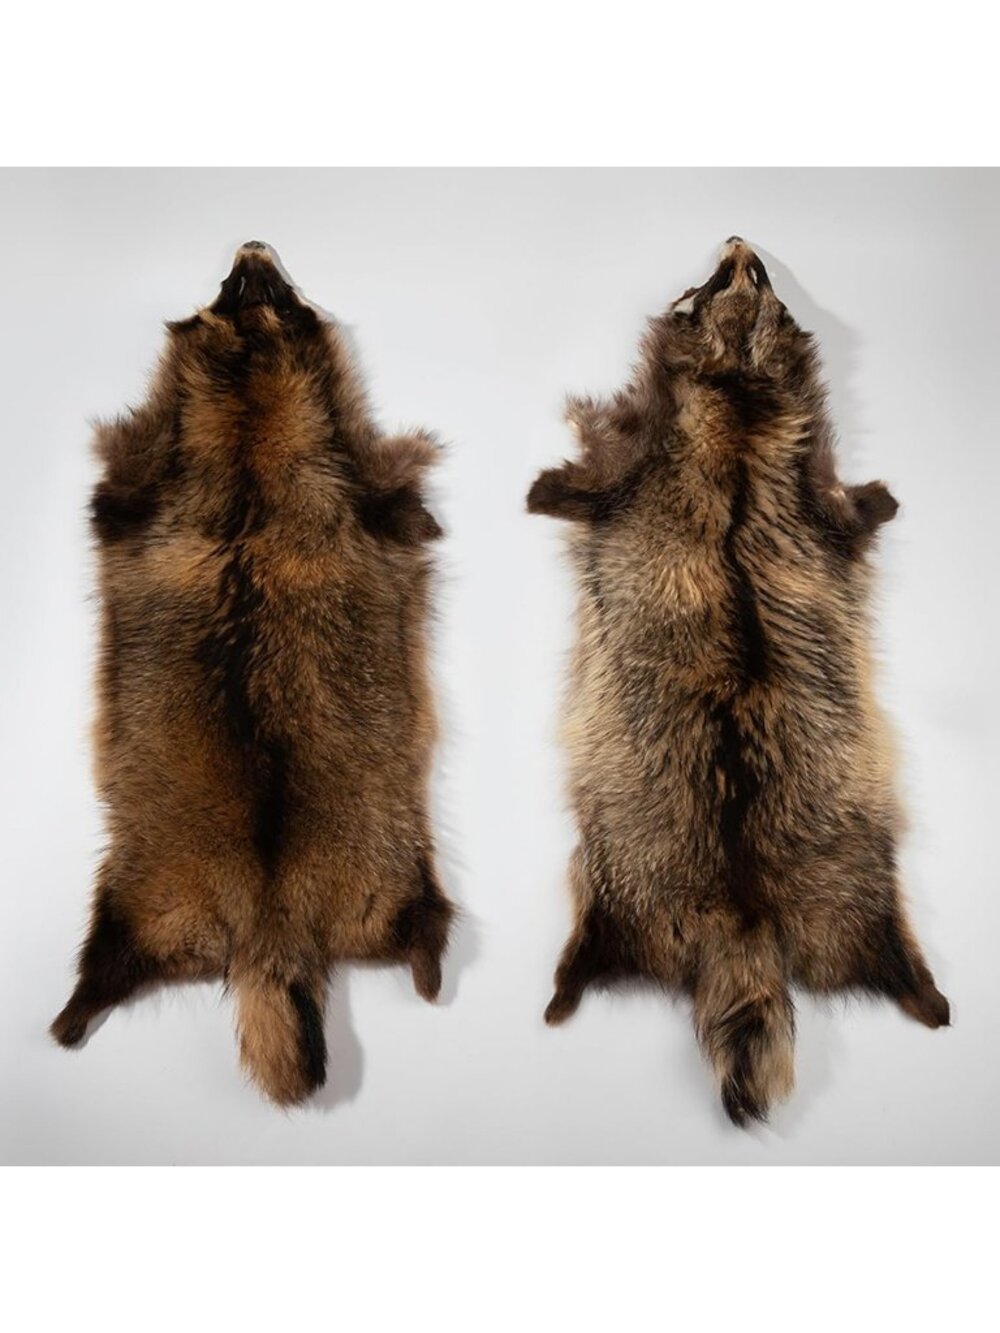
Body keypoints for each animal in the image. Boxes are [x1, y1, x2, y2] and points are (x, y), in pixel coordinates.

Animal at [528, 238, 949, 1126]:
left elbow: (579, 482)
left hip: (624, 887)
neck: (741, 398)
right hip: (842, 898)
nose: (742, 241)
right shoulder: (806, 487)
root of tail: (744, 912)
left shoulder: (637, 467)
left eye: (750, 282)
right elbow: (849, 508)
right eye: (726, 280)